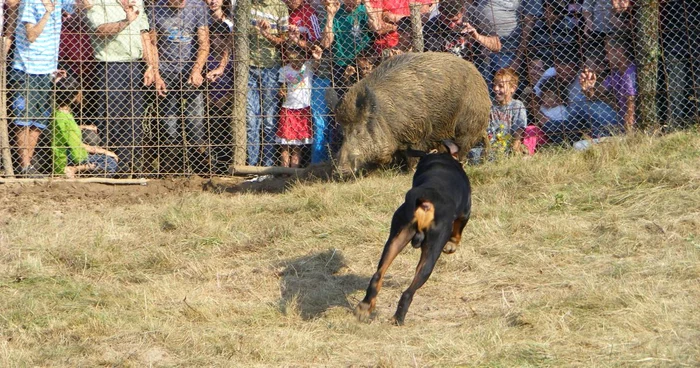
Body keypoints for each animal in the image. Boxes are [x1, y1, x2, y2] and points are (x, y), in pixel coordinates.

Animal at [352, 139, 474, 324]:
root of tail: (425, 201)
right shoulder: (465, 212)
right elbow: (458, 231)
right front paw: (452, 245)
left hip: (397, 236)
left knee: (377, 275)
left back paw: (365, 308)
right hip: (432, 250)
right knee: (409, 292)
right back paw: (399, 318)